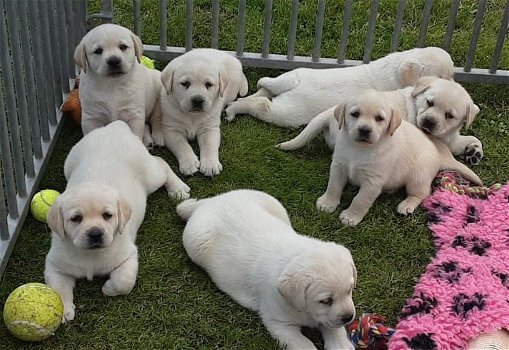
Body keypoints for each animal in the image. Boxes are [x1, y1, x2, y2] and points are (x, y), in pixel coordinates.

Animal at [44, 121, 189, 322]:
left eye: (107, 215)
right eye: (75, 219)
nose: (95, 233)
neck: (90, 255)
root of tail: (115, 126)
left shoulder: (129, 255)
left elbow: (123, 281)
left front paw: (107, 289)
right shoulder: (54, 264)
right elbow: (58, 289)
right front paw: (63, 310)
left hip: (150, 174)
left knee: (162, 164)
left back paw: (178, 189)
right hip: (69, 164)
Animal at [158, 47, 247, 176]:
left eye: (209, 84)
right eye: (185, 84)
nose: (198, 100)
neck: (192, 116)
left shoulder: (209, 128)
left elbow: (209, 146)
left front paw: (210, 165)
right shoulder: (171, 129)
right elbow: (182, 146)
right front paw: (189, 164)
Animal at [226, 46, 452, 128]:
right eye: (441, 76)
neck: (396, 68)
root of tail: (293, 86)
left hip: (293, 75)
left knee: (264, 88)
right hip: (287, 113)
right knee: (262, 105)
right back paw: (233, 109)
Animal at [276, 75, 482, 165]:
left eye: (449, 115)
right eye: (429, 102)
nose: (429, 122)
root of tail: (328, 113)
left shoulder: (450, 135)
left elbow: (468, 139)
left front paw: (474, 151)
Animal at [316, 90, 482, 227]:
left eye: (379, 118)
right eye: (355, 114)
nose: (364, 130)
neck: (359, 148)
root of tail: (438, 155)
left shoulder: (373, 181)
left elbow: (360, 199)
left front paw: (351, 217)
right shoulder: (338, 166)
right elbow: (333, 186)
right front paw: (327, 203)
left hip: (417, 178)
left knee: (423, 192)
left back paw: (407, 205)